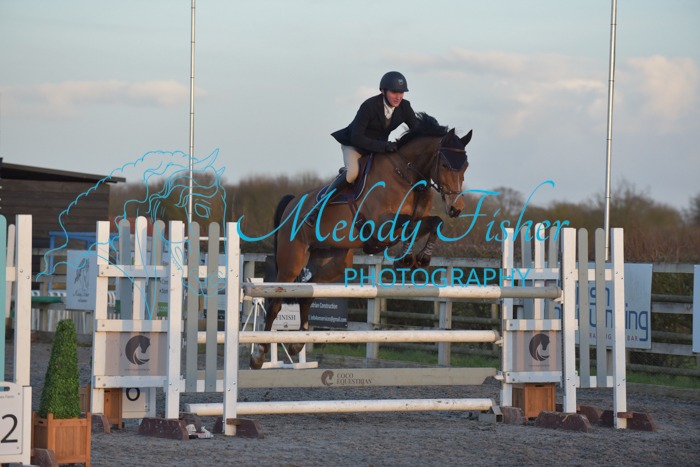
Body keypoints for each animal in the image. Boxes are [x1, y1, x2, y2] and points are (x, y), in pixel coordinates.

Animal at [250, 113, 472, 369]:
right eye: (445, 164)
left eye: (465, 165)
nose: (456, 208)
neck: (408, 175)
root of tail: (293, 202)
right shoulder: (381, 227)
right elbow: (409, 225)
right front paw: (407, 258)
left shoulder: (414, 221)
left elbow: (434, 222)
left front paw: (419, 258)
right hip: (292, 261)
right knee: (276, 301)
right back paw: (259, 354)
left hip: (332, 263)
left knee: (309, 293)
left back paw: (298, 342)